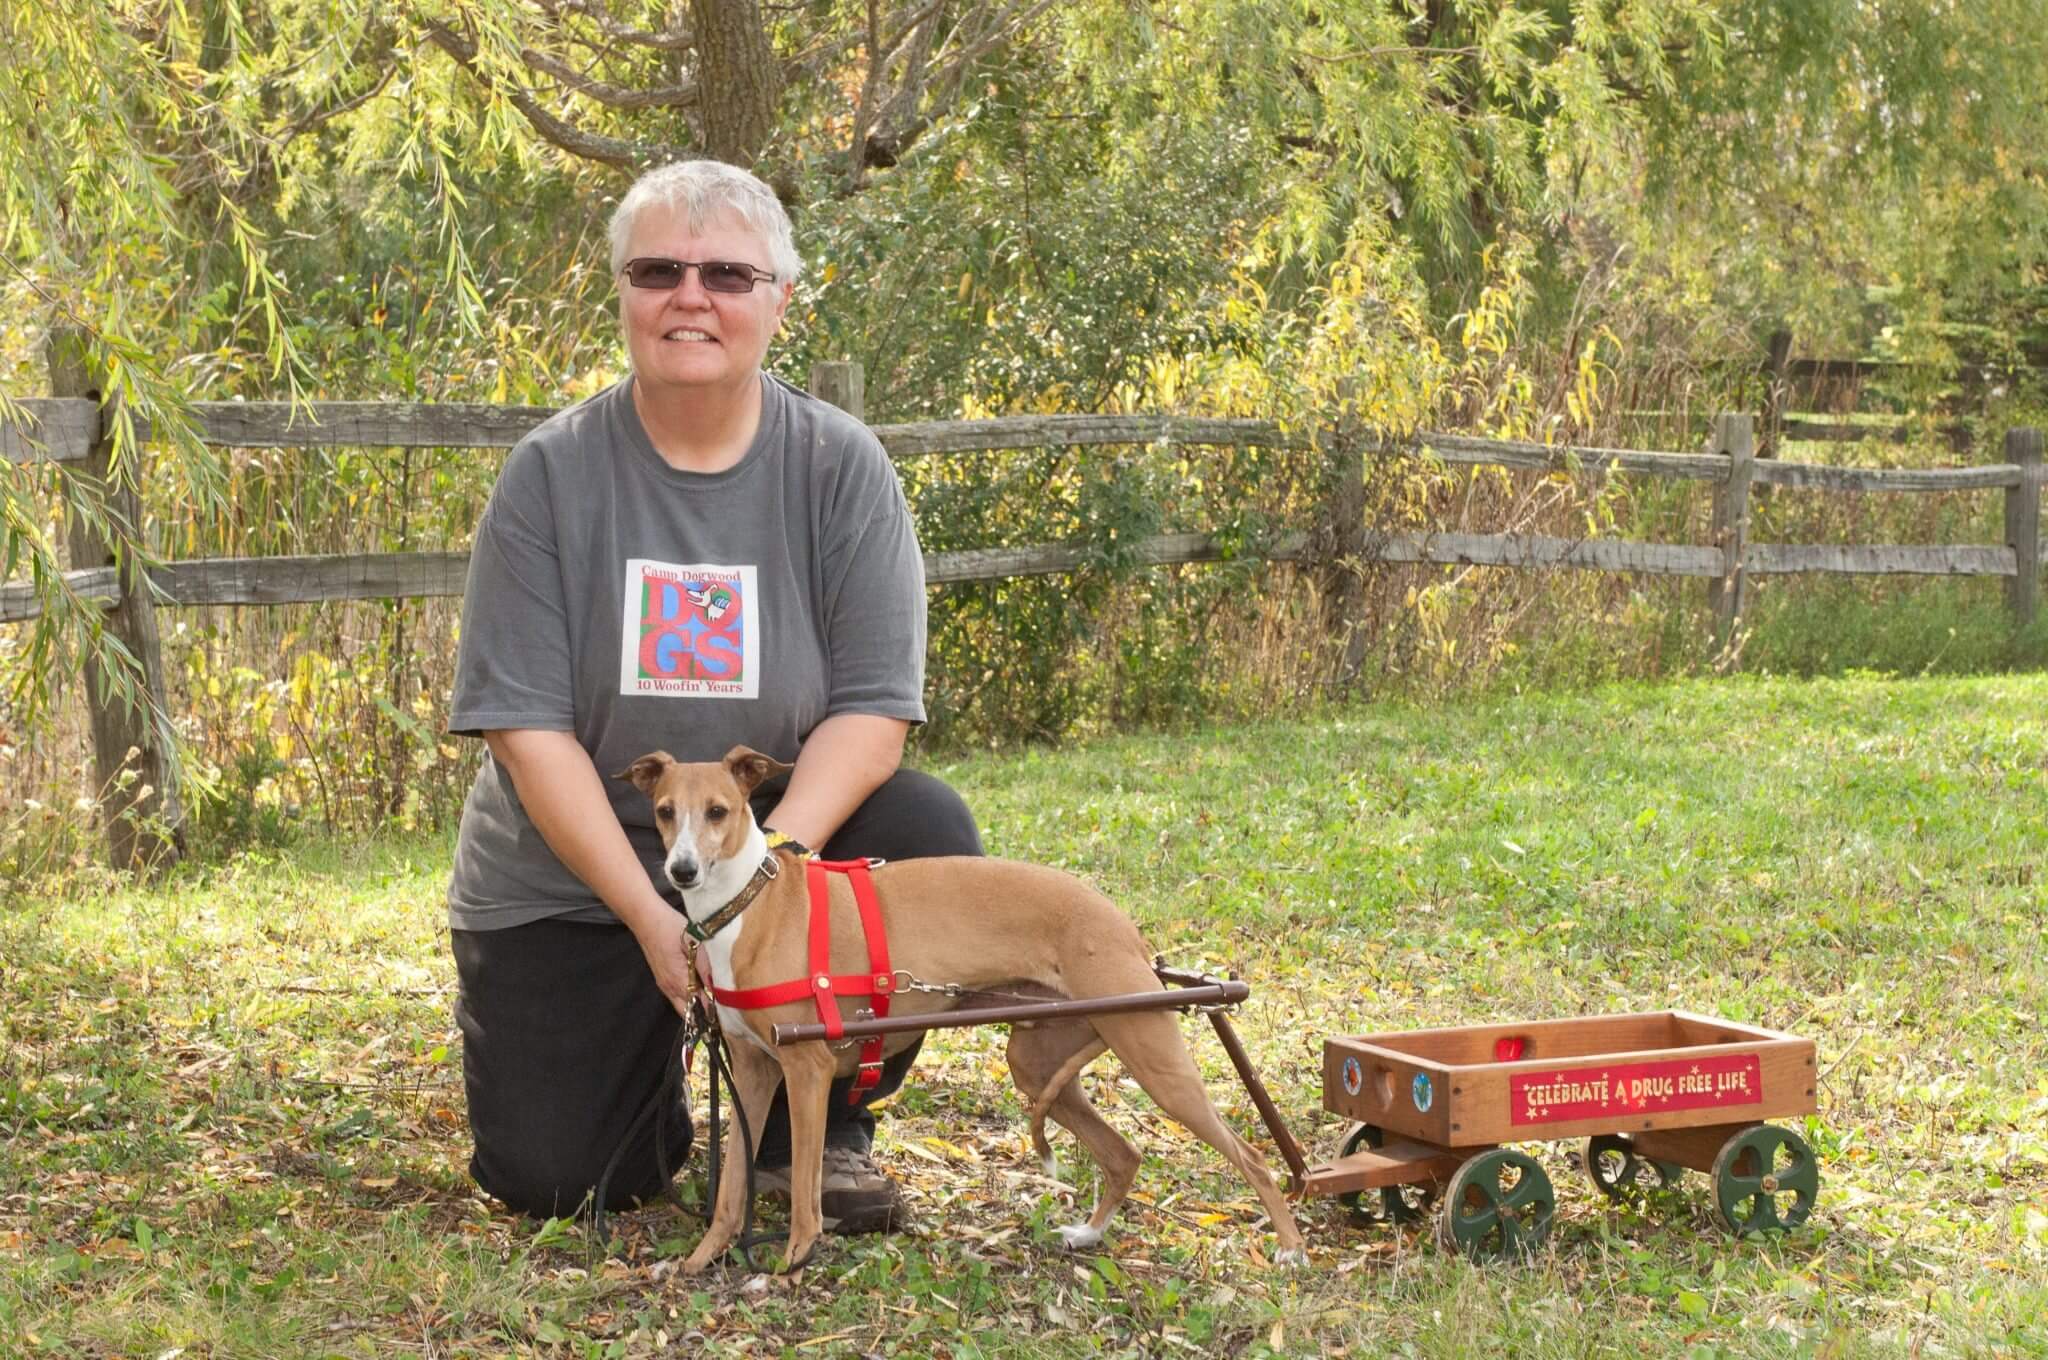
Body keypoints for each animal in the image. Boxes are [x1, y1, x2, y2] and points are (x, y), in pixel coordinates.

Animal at [614, 745, 1302, 1278]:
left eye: (718, 812)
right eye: (665, 812)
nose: (681, 871)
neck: (750, 904)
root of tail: (1125, 928)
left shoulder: (807, 1072)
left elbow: (806, 1192)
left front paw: (790, 1265)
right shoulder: (754, 1075)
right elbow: (732, 1187)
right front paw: (702, 1260)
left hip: (1156, 1061)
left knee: (1255, 1157)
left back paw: (1291, 1248)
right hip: (1039, 1063)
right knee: (1124, 1155)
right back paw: (1088, 1234)